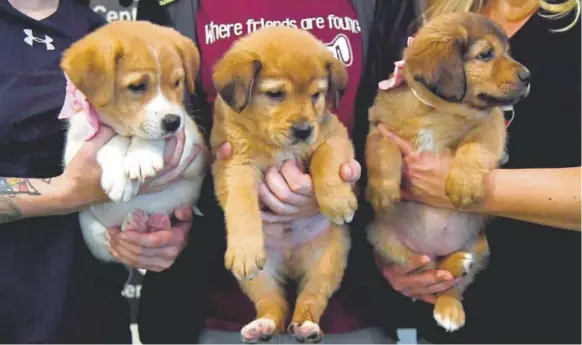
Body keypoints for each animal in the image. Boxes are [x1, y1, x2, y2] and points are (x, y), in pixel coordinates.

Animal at [59, 21, 209, 262]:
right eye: (137, 86)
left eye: (177, 82)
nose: (172, 122)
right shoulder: (74, 150)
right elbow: (114, 138)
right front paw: (120, 177)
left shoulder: (193, 146)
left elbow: (146, 138)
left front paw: (142, 157)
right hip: (92, 231)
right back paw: (134, 223)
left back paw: (152, 222)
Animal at [210, 26, 356, 342]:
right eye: (276, 94)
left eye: (316, 95)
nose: (303, 130)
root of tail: (290, 261)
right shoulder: (236, 165)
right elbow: (241, 207)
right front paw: (244, 250)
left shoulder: (332, 134)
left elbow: (327, 160)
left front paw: (338, 201)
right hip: (259, 278)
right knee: (273, 304)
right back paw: (261, 326)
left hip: (327, 262)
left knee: (310, 299)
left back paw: (306, 327)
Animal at [368, 12, 532, 332]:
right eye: (486, 54)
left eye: (507, 52)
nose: (528, 77)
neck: (440, 110)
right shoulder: (378, 124)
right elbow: (383, 150)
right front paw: (383, 189)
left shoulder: (491, 126)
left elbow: (474, 147)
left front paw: (464, 183)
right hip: (388, 242)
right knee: (429, 269)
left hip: (480, 245)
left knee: (454, 286)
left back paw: (452, 298)